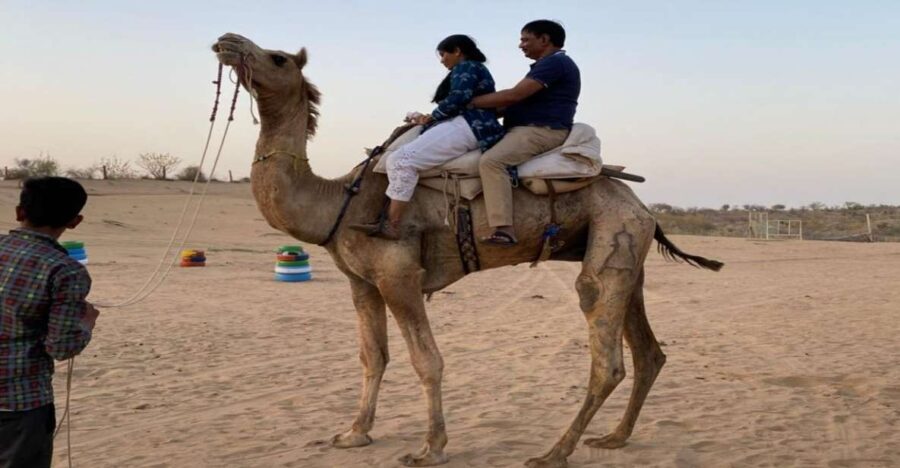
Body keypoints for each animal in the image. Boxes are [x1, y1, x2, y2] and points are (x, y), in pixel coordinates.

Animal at [212, 33, 723, 468]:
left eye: (277, 57)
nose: (226, 41)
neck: (339, 200)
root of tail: (643, 206)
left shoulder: (399, 276)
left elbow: (427, 361)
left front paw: (431, 448)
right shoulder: (362, 283)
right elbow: (373, 356)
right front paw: (355, 433)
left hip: (613, 241)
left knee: (606, 353)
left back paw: (553, 453)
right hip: (628, 257)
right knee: (648, 353)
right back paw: (614, 437)